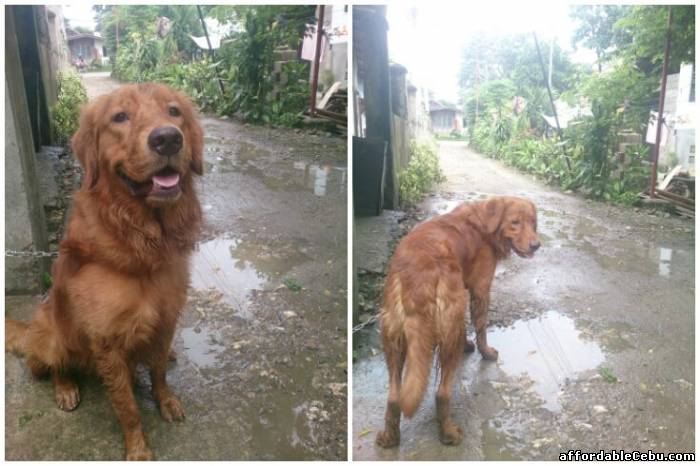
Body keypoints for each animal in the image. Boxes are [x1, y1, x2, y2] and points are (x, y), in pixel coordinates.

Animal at [6, 83, 202, 458]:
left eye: (174, 111)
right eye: (120, 117)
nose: (168, 139)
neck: (144, 243)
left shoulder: (166, 319)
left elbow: (158, 372)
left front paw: (166, 400)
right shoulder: (108, 343)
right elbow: (127, 407)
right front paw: (138, 449)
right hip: (51, 335)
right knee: (51, 365)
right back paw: (65, 388)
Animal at [374, 197, 540, 448]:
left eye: (533, 223)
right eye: (515, 222)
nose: (536, 245)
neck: (483, 223)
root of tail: (417, 280)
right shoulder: (480, 289)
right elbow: (481, 327)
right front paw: (485, 352)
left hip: (392, 337)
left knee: (394, 397)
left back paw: (390, 437)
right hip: (449, 325)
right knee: (441, 393)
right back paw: (449, 433)